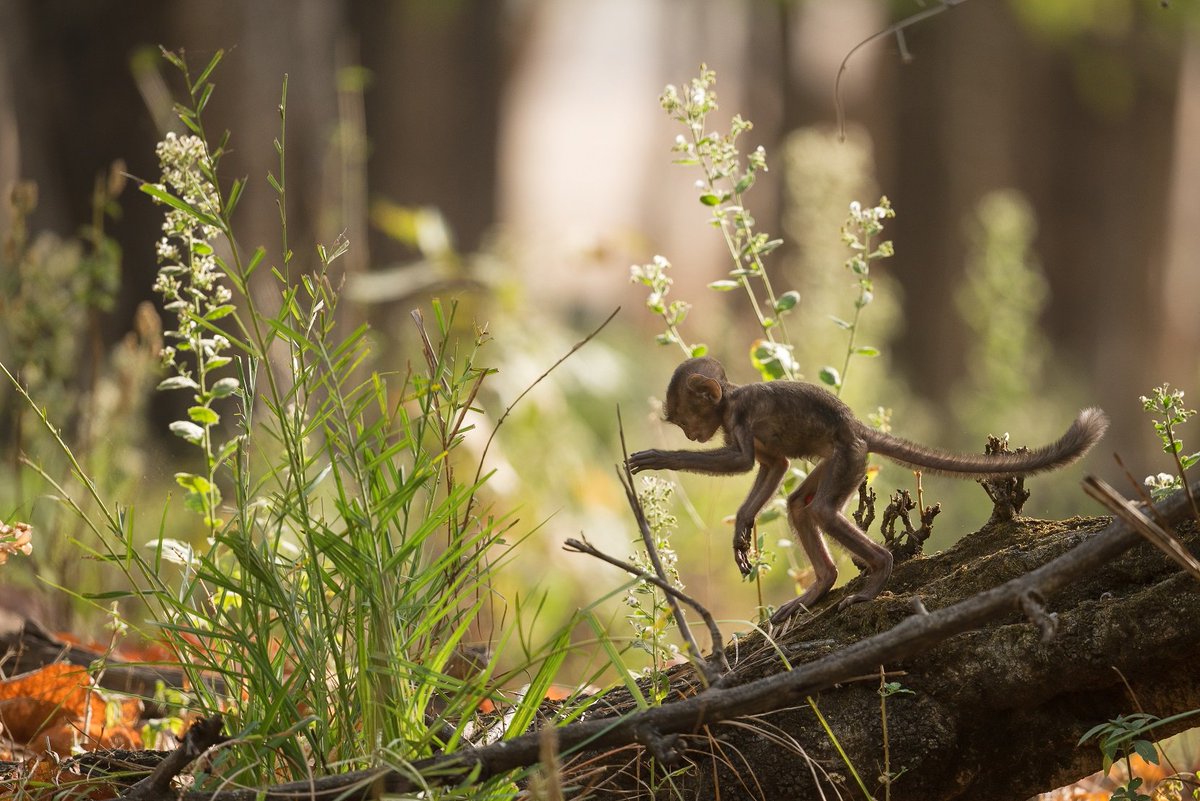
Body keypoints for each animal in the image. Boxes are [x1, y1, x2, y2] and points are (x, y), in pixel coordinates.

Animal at [628, 352, 1104, 623]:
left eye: (685, 419)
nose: (690, 436)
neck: (729, 401)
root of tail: (856, 428)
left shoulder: (740, 417)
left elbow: (743, 461)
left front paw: (660, 457)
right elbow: (774, 464)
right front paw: (743, 524)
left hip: (849, 457)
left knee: (821, 510)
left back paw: (880, 572)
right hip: (843, 459)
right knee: (800, 505)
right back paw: (823, 584)